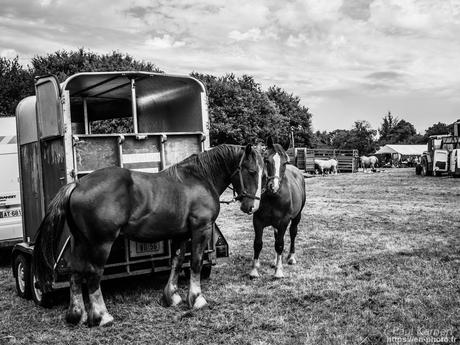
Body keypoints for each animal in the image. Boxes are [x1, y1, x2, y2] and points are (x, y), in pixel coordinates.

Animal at [32, 144, 264, 326]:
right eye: (252, 171)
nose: (253, 207)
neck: (199, 179)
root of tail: (78, 184)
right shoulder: (201, 229)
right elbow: (196, 263)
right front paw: (196, 299)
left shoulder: (181, 234)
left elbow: (177, 261)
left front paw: (171, 297)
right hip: (100, 244)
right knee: (93, 275)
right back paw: (101, 316)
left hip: (79, 242)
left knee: (75, 274)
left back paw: (76, 314)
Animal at [248, 137, 306, 276]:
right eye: (266, 160)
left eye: (285, 162)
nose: (273, 186)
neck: (272, 197)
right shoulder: (257, 221)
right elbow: (258, 243)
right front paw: (254, 270)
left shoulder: (284, 221)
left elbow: (279, 244)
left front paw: (278, 271)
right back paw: (275, 261)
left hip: (297, 216)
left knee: (293, 233)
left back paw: (291, 257)